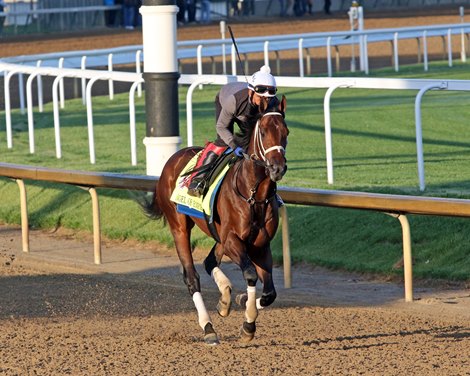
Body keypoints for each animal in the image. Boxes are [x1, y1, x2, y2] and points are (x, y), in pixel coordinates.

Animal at [141, 95, 288, 346]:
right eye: (263, 132)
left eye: (286, 132)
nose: (277, 168)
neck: (254, 194)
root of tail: (173, 159)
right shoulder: (233, 240)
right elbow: (250, 274)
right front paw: (247, 322)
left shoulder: (260, 244)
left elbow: (269, 294)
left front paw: (240, 302)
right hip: (180, 227)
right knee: (192, 277)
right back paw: (208, 327)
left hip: (219, 236)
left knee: (210, 262)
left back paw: (225, 298)